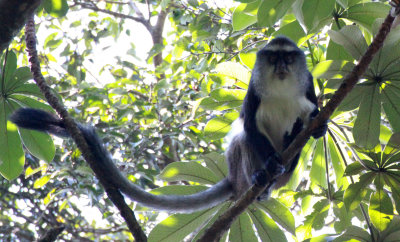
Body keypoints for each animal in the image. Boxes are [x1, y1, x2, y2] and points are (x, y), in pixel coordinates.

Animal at [10, 36, 328, 214]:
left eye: (288, 58)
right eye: (273, 58)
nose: (281, 67)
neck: (281, 87)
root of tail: (233, 181)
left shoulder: (308, 84)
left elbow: (312, 114)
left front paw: (318, 127)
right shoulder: (254, 89)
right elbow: (249, 125)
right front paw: (271, 161)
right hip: (240, 171)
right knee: (241, 140)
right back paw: (260, 179)